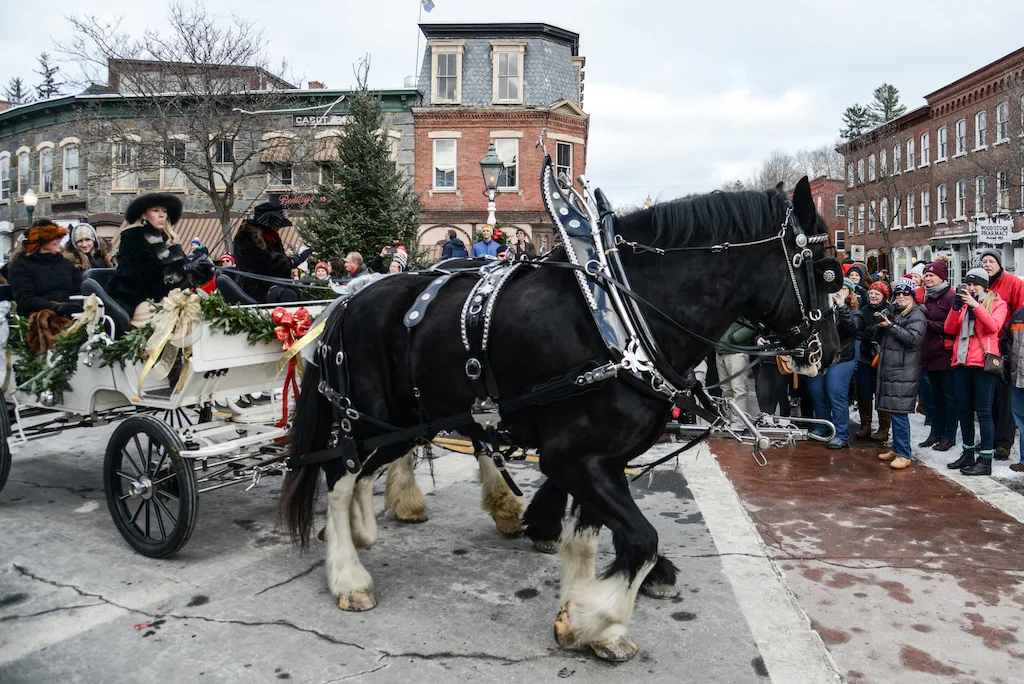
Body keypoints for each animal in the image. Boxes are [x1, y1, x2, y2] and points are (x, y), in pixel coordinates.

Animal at [282, 176, 839, 663]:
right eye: (824, 269)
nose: (829, 351)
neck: (624, 318)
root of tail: (351, 297)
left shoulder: (602, 460)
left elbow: (591, 540)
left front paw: (591, 621)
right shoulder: (574, 457)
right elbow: (641, 539)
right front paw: (592, 618)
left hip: (408, 421)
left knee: (367, 470)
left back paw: (367, 530)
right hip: (371, 418)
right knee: (338, 475)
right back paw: (349, 575)